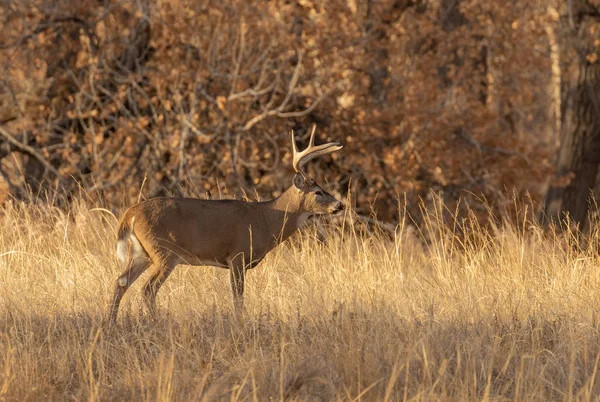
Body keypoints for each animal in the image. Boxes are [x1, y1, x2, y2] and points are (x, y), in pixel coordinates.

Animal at [107, 125, 342, 324]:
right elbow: (238, 297)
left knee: (120, 281)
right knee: (147, 289)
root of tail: (130, 213)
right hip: (164, 251)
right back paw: (157, 322)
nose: (339, 205)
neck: (267, 220)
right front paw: (240, 323)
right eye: (318, 192)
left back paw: (111, 322)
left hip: (141, 253)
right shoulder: (238, 255)